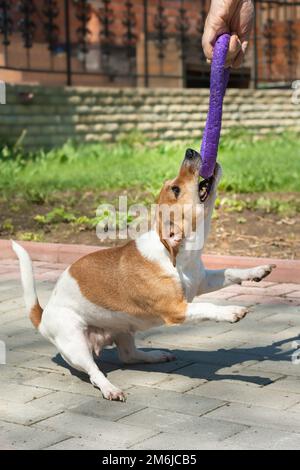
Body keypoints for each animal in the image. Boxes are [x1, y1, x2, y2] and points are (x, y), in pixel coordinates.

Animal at [12, 150, 274, 400]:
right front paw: (231, 311)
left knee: (129, 355)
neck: (177, 256)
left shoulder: (202, 281)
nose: (190, 151)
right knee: (95, 372)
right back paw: (110, 388)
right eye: (175, 189)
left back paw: (156, 355)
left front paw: (258, 271)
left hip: (123, 330)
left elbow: (231, 272)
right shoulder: (176, 309)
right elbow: (208, 307)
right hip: (76, 345)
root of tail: (43, 315)